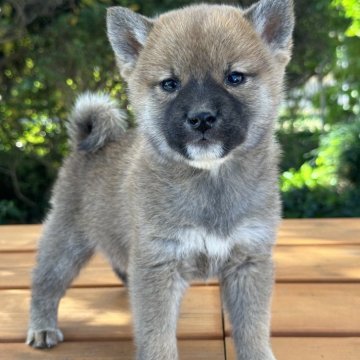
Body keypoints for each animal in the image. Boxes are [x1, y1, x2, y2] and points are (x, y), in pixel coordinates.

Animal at [26, 1, 294, 358]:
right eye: (170, 84)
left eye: (235, 77)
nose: (201, 117)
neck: (210, 183)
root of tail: (87, 143)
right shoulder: (158, 264)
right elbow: (157, 336)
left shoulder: (249, 262)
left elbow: (253, 328)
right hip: (66, 243)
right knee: (45, 282)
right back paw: (42, 326)